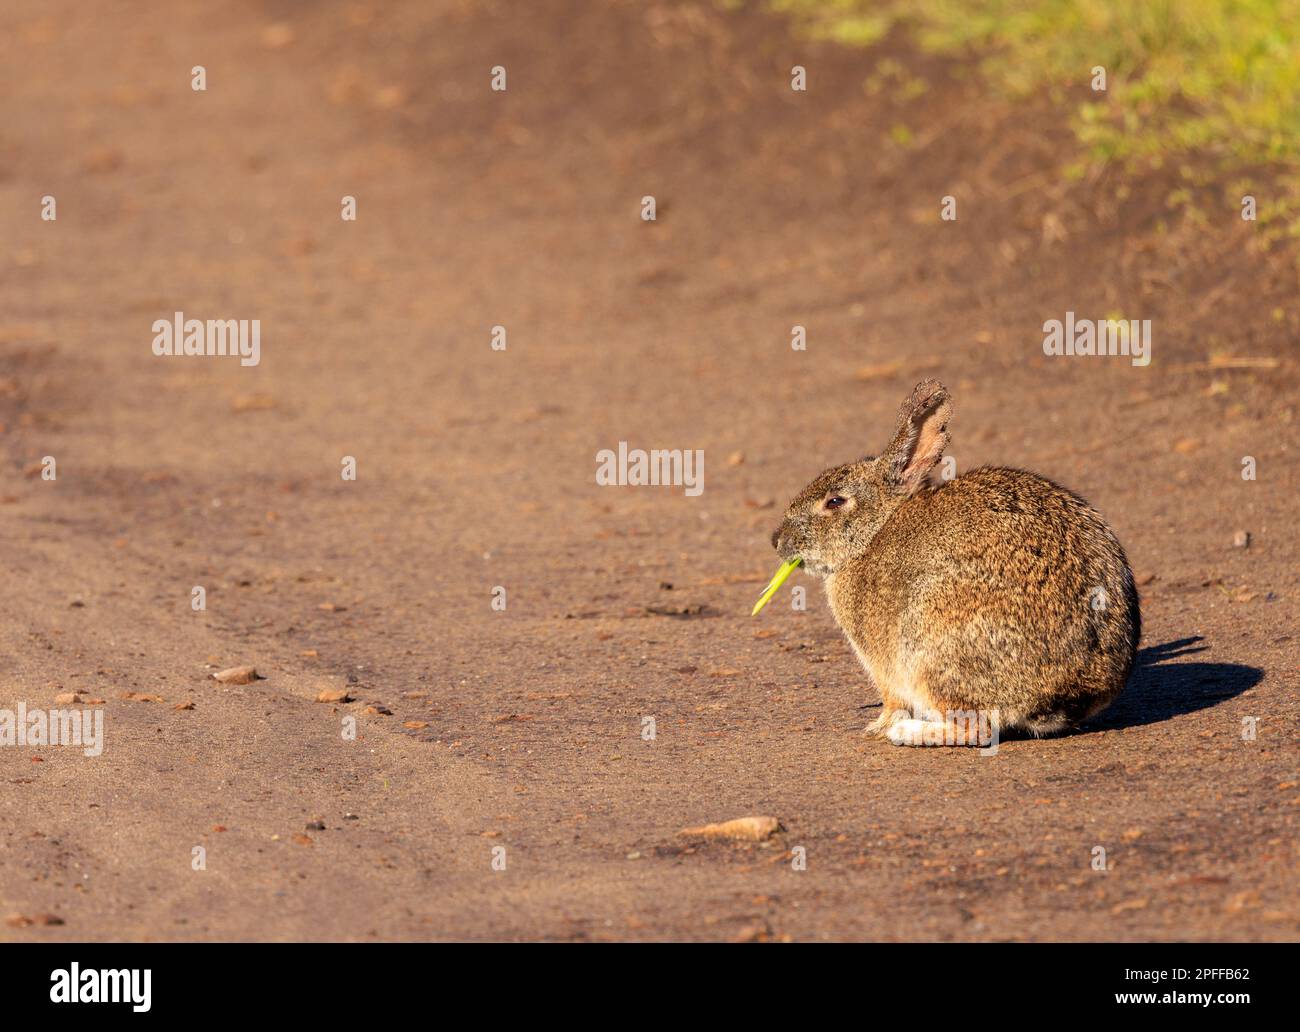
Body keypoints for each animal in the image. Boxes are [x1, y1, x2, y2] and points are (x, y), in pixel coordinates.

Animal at [769, 378, 1139, 747]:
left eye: (834, 501)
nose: (777, 540)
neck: (874, 531)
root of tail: (1068, 690)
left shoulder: (885, 666)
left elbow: (893, 702)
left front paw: (879, 725)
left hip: (929, 646)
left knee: (976, 727)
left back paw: (907, 733)